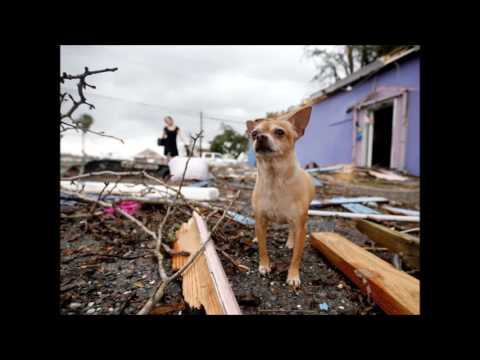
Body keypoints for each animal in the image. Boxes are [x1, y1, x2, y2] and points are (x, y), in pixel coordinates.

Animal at [248, 106, 316, 286]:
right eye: (254, 134)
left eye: (279, 132)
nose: (260, 137)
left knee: (291, 230)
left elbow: (296, 257)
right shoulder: (260, 220)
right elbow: (263, 249)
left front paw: (293, 276)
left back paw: (290, 242)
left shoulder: (300, 226)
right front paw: (264, 266)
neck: (274, 180)